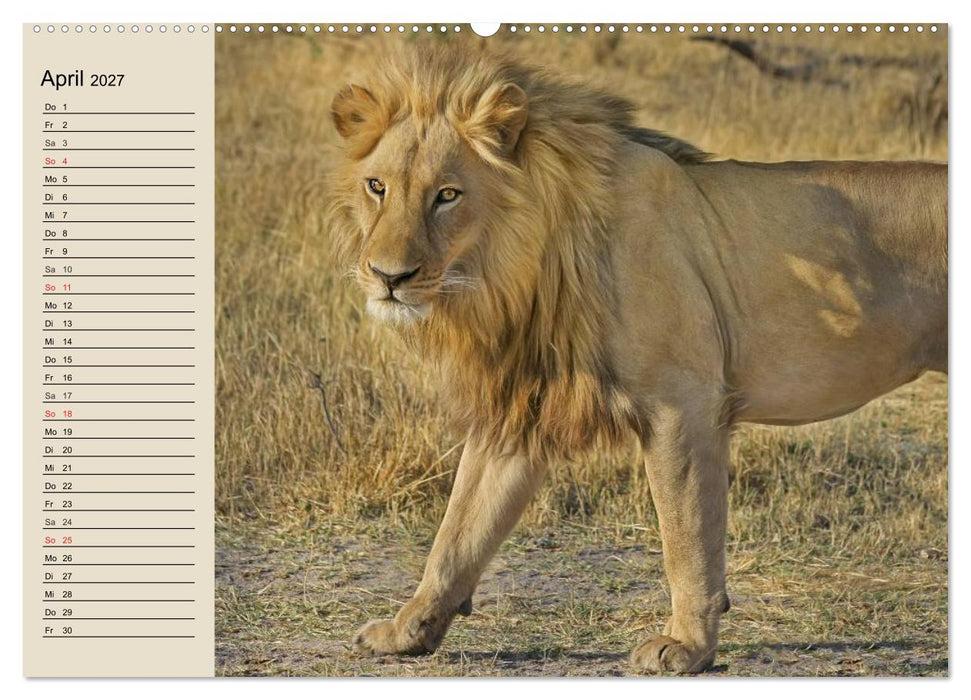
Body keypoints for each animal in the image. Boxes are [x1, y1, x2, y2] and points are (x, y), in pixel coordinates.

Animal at [327, 45, 947, 673]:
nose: (389, 277)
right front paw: (407, 632)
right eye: (377, 186)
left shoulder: (682, 404)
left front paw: (687, 646)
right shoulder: (523, 407)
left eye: (448, 195)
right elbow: (459, 531)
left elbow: (686, 536)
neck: (517, 269)